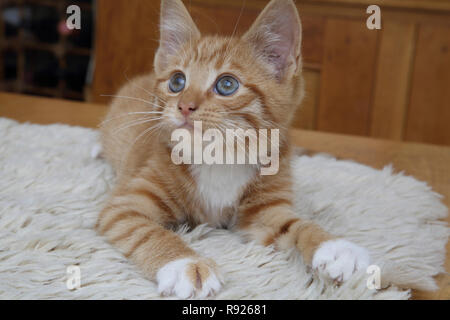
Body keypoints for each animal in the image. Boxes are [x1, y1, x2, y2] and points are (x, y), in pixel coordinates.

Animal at [97, 0, 370, 298]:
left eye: (226, 85)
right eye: (177, 81)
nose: (184, 105)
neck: (219, 157)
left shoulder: (263, 212)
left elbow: (294, 223)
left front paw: (333, 245)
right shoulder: (125, 205)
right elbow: (146, 230)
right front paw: (184, 263)